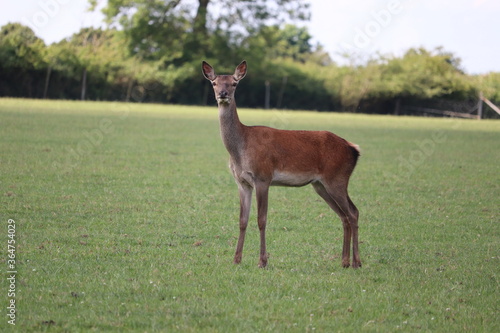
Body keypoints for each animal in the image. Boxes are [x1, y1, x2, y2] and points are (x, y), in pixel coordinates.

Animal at [201, 59, 362, 268]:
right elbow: (242, 220)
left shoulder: (263, 177)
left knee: (353, 212)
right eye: (214, 83)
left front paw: (262, 261)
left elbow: (261, 219)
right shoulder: (242, 182)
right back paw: (344, 261)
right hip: (320, 185)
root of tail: (354, 149)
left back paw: (357, 262)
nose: (223, 94)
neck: (239, 150)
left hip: (337, 178)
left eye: (234, 83)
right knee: (344, 216)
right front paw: (236, 259)